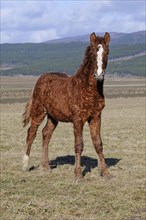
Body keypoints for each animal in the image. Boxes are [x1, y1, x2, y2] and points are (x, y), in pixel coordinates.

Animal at [22, 31, 110, 179]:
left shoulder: (96, 116)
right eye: (92, 53)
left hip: (53, 116)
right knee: (31, 133)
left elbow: (98, 143)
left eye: (107, 52)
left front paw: (105, 173)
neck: (86, 89)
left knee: (46, 134)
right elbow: (79, 144)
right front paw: (78, 174)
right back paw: (25, 165)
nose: (99, 75)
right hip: (39, 111)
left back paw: (46, 167)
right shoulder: (78, 119)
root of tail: (40, 78)